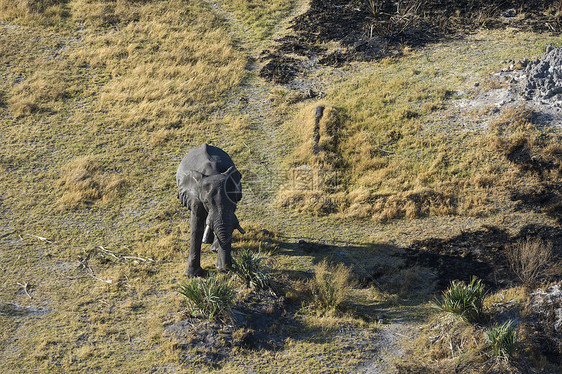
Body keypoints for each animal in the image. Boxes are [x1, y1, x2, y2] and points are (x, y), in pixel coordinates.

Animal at [176, 145, 244, 276]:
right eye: (206, 202)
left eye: (233, 201)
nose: (223, 268)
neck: (213, 172)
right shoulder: (195, 198)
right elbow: (196, 227)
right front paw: (192, 275)